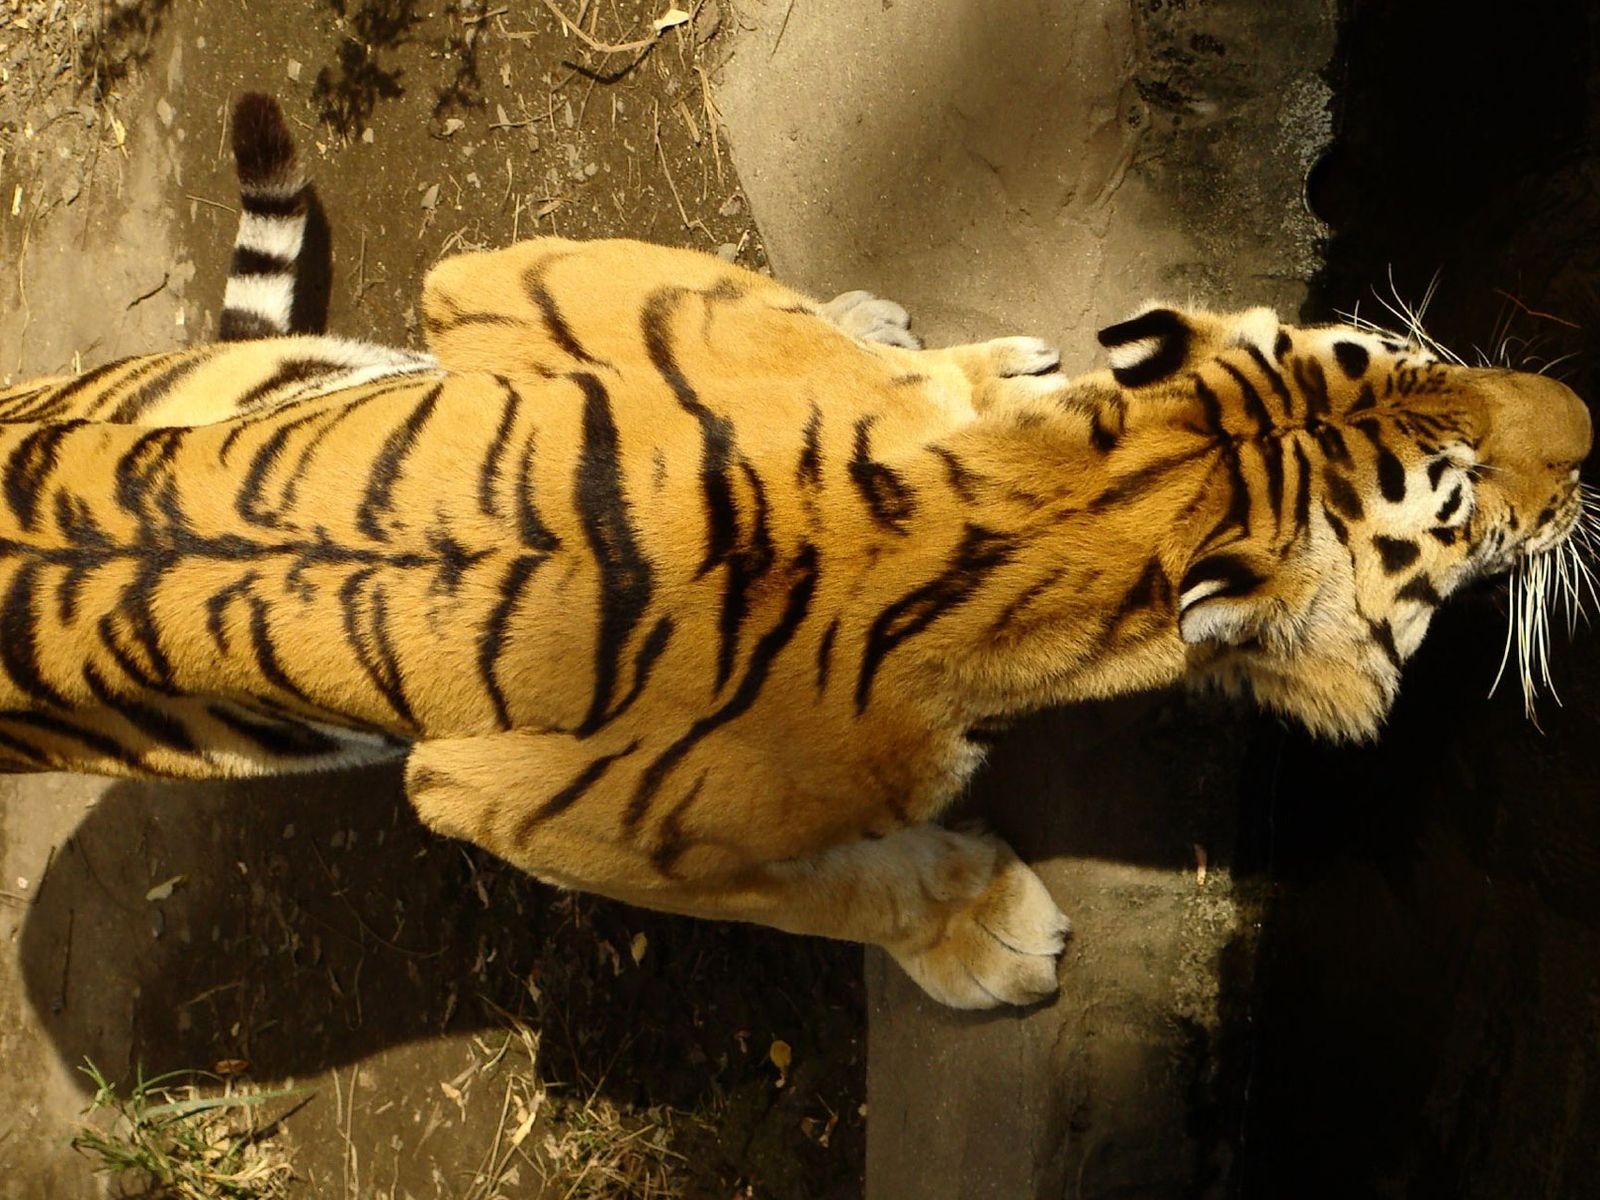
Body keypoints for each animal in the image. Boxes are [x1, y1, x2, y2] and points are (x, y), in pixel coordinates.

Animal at [0, 138, 1589, 1012]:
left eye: (1409, 354)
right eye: (1464, 500)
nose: (1585, 419)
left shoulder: (508, 280)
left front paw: (934, 356)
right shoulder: (523, 807)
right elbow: (815, 894)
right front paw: (983, 930)